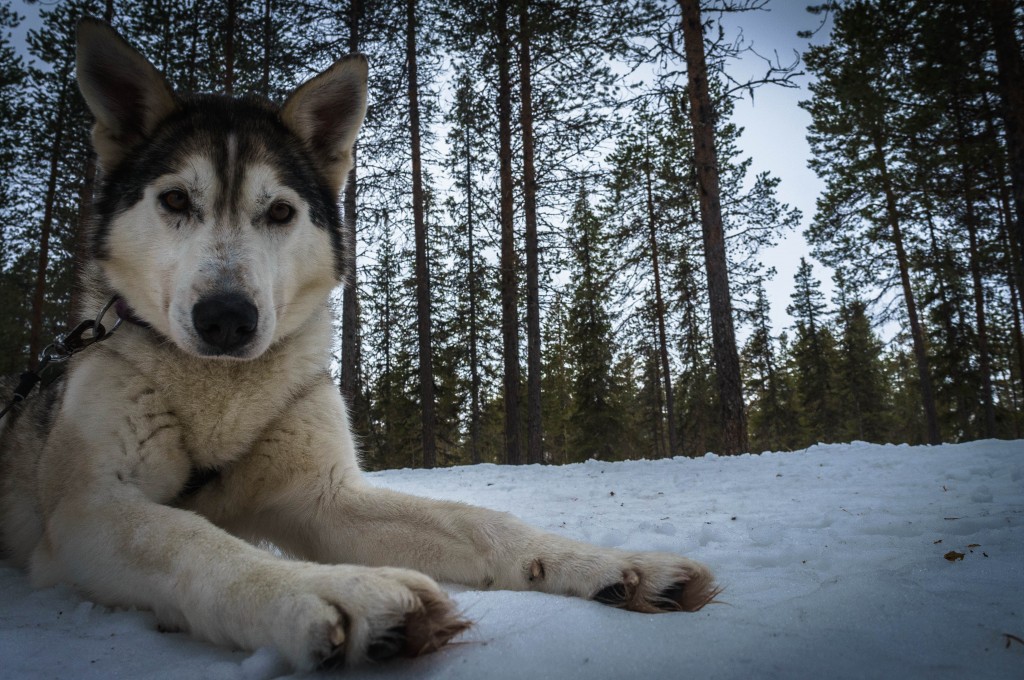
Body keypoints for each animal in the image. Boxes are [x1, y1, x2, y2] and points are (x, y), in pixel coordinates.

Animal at [0, 18, 716, 671]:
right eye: (175, 200)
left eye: (280, 212)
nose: (227, 318)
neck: (222, 399)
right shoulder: (90, 511)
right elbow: (192, 539)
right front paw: (334, 592)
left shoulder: (325, 500)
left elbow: (482, 521)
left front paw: (613, 564)